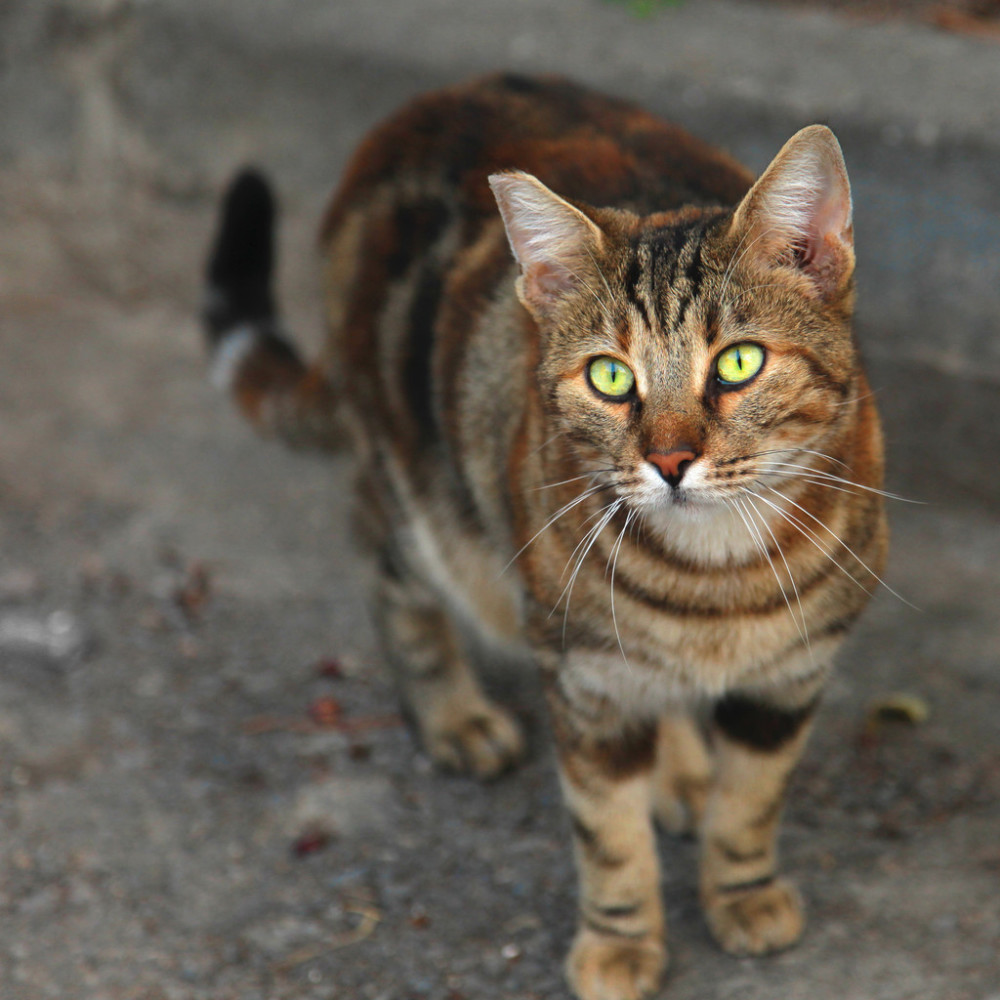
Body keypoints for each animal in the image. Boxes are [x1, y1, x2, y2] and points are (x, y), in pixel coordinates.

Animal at [201, 72, 884, 1000]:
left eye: (739, 363)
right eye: (611, 377)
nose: (670, 460)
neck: (717, 577)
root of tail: (416, 112)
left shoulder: (792, 675)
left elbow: (753, 800)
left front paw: (742, 890)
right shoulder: (580, 676)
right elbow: (608, 832)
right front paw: (620, 941)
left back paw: (678, 768)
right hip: (420, 500)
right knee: (387, 570)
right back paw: (453, 713)